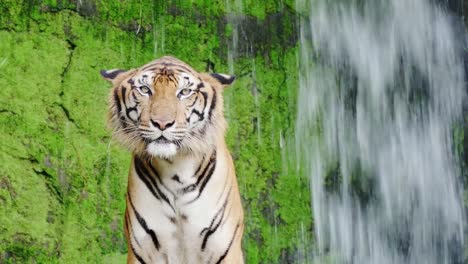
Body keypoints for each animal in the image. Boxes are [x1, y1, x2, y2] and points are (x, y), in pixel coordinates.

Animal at [100, 56, 243, 264]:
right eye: (145, 89)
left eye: (184, 92)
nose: (162, 123)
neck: (175, 167)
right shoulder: (141, 250)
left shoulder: (225, 249)